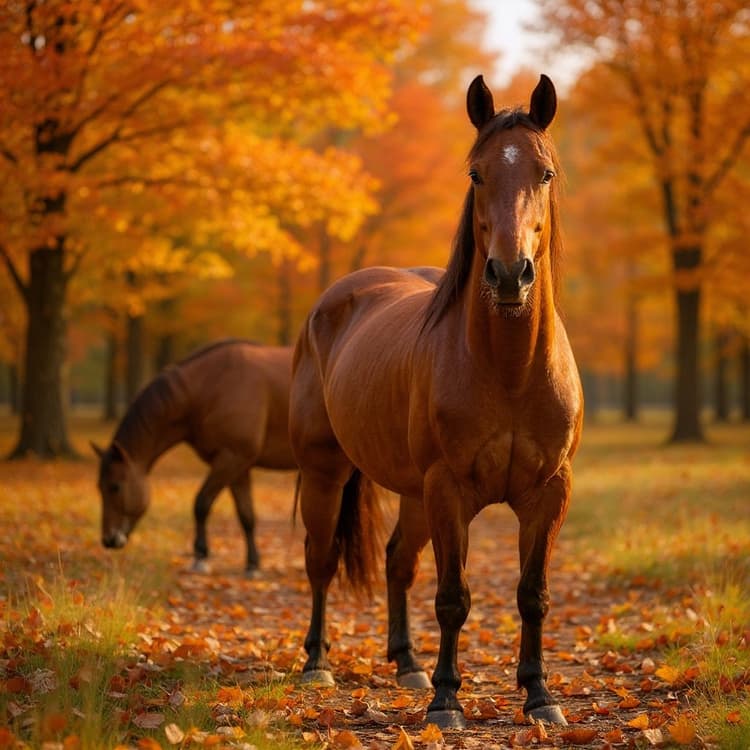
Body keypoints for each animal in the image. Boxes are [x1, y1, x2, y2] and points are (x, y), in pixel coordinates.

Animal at [92, 339, 296, 575]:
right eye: (99, 487)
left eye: (115, 486)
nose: (108, 539)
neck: (213, 385)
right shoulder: (239, 466)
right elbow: (246, 515)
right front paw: (252, 565)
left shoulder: (231, 459)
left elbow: (201, 504)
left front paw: (200, 557)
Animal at [288, 74, 583, 728]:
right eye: (476, 173)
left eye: (545, 173)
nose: (509, 275)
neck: (509, 370)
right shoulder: (448, 488)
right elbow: (453, 597)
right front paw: (447, 700)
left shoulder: (548, 492)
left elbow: (533, 595)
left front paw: (539, 695)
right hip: (326, 472)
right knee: (321, 560)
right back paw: (318, 663)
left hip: (411, 491)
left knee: (398, 561)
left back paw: (407, 664)